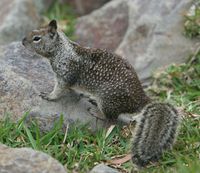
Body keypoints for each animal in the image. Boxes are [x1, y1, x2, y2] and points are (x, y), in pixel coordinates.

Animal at [22, 19, 180, 167]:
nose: (22, 41)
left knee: (111, 118)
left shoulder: (65, 76)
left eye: (36, 38)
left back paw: (96, 111)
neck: (62, 50)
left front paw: (48, 96)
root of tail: (140, 98)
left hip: (107, 101)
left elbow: (59, 90)